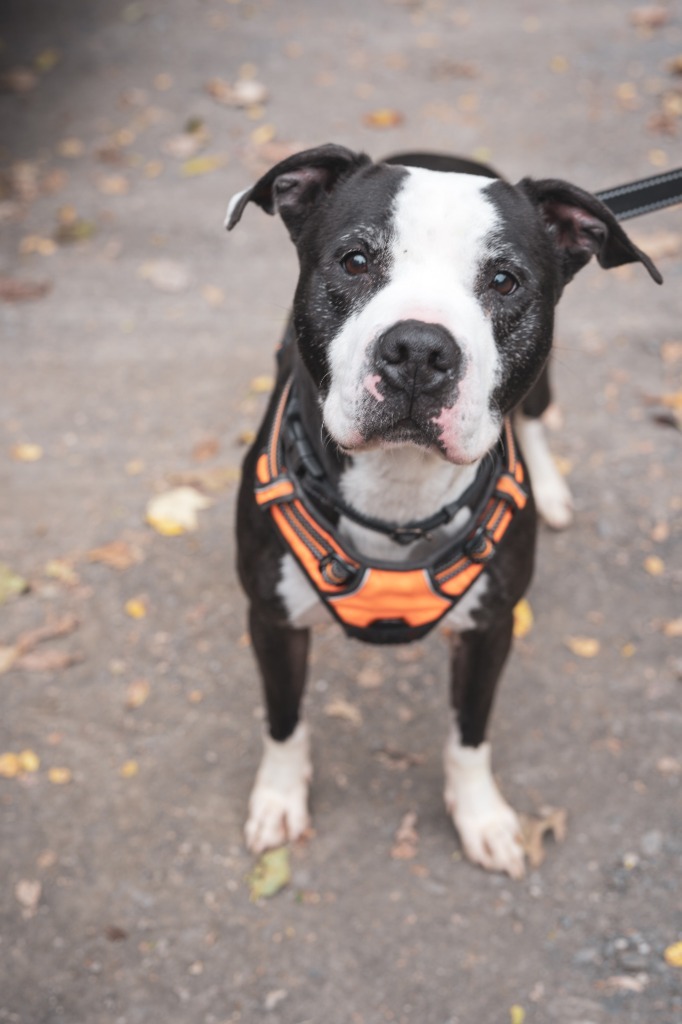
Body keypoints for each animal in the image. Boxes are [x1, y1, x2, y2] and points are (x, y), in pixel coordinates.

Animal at [224, 146, 659, 880]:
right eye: (355, 262)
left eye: (505, 280)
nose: (420, 350)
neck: (400, 494)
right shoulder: (271, 620)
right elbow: (284, 721)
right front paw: (279, 799)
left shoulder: (490, 630)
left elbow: (470, 733)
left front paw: (481, 816)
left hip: (539, 384)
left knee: (534, 416)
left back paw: (551, 488)